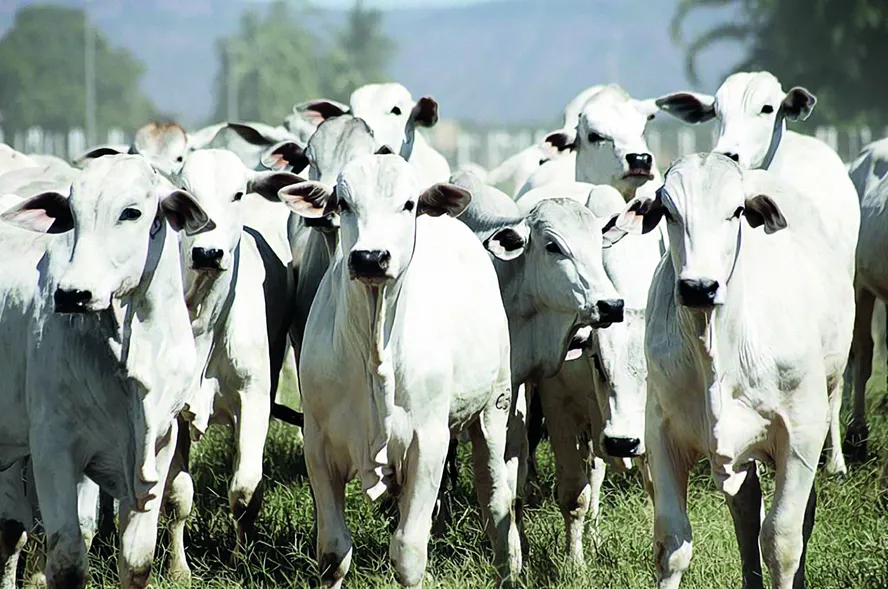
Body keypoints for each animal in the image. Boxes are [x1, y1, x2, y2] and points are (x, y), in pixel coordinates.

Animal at [0, 154, 212, 584]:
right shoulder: (53, 447)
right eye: (72, 214)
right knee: (12, 532)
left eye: (131, 212)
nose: (72, 294)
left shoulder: (159, 445)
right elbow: (67, 559)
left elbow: (137, 558)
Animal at [163, 149, 306, 576]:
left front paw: (240, 561)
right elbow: (177, 495)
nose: (207, 254)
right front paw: (178, 570)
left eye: (238, 193)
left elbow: (245, 490)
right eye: (185, 194)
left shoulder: (254, 399)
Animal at [282, 154, 520, 584]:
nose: (370, 258)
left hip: (494, 408)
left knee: (496, 501)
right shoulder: (317, 442)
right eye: (342, 202)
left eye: (409, 204)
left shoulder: (429, 443)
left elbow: (409, 552)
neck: (375, 353)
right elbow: (333, 551)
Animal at [616, 154, 852, 588]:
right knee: (745, 509)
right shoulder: (661, 432)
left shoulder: (801, 434)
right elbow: (672, 542)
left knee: (799, 517)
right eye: (669, 211)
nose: (699, 287)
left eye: (737, 211)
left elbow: (782, 541)